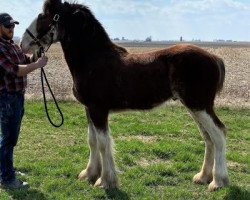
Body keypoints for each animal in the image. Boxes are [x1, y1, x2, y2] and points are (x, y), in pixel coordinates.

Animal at [21, 0, 229, 191]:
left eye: (44, 16)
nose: (23, 44)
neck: (94, 60)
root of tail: (215, 58)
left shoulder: (98, 110)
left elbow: (103, 143)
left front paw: (105, 181)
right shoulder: (89, 109)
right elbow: (92, 141)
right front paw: (89, 173)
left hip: (199, 106)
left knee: (218, 134)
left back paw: (218, 181)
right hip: (195, 108)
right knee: (208, 137)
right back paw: (203, 177)